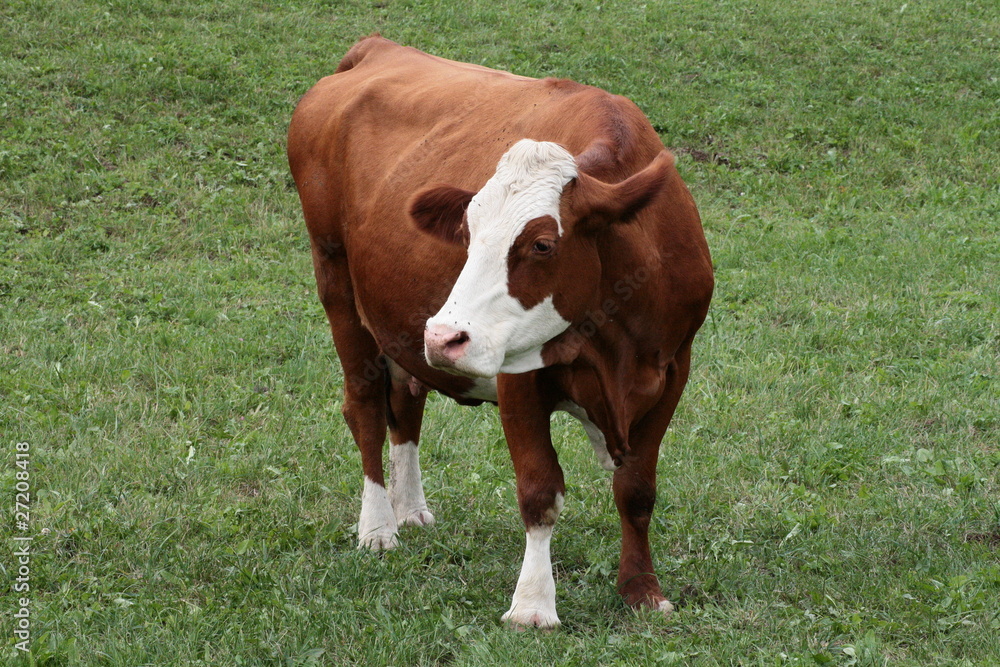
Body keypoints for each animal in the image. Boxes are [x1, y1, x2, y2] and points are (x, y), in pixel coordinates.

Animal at [287, 35, 713, 628]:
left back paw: (410, 508)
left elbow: (637, 490)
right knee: (366, 405)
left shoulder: (673, 366)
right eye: (466, 234)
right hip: (336, 281)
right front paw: (532, 605)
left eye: (542, 244)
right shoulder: (518, 376)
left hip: (398, 325)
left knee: (406, 402)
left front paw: (642, 591)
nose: (444, 336)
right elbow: (540, 490)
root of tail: (377, 49)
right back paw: (378, 526)